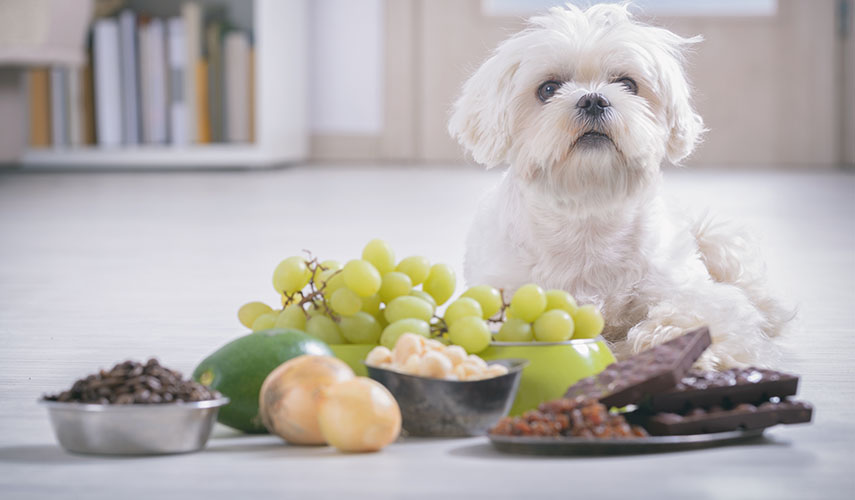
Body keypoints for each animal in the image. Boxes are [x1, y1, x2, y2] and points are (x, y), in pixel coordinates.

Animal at [452, 3, 792, 370]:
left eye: (628, 84)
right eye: (548, 89)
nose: (593, 100)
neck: (589, 211)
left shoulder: (688, 288)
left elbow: (700, 314)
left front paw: (671, 344)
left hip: (715, 240)